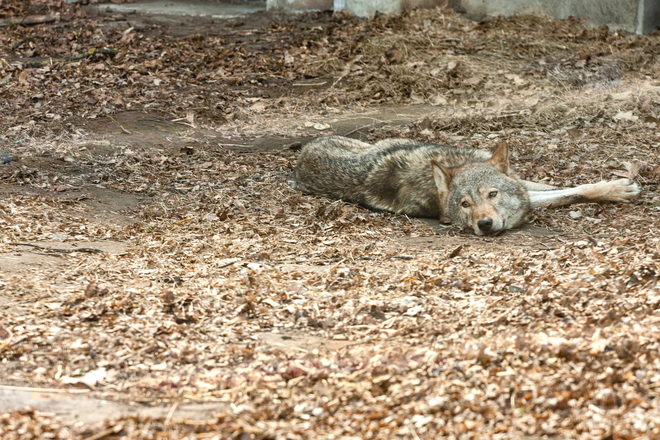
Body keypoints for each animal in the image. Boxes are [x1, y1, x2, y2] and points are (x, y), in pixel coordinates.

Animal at [292, 136, 640, 235]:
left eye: (492, 194)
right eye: (465, 205)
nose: (484, 225)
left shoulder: (521, 181)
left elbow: (563, 186)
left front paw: (615, 185)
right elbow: (565, 194)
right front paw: (620, 188)